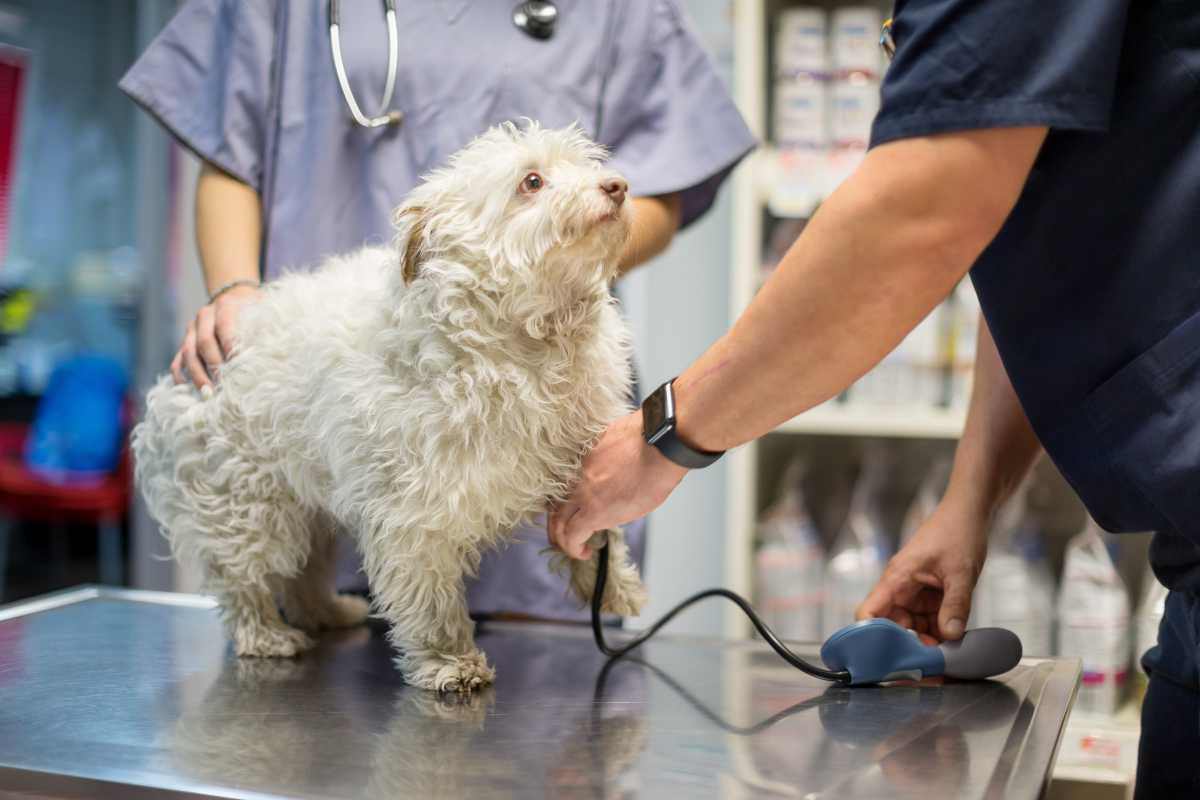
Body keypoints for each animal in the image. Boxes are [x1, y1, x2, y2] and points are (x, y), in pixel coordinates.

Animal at [133, 122, 648, 690]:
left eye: (588, 164)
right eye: (532, 181)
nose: (618, 186)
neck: (527, 344)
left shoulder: (579, 455)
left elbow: (601, 528)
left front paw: (613, 584)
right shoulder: (416, 511)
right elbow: (431, 597)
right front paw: (450, 661)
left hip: (311, 502)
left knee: (305, 573)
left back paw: (330, 612)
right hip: (246, 504)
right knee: (243, 579)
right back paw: (265, 634)